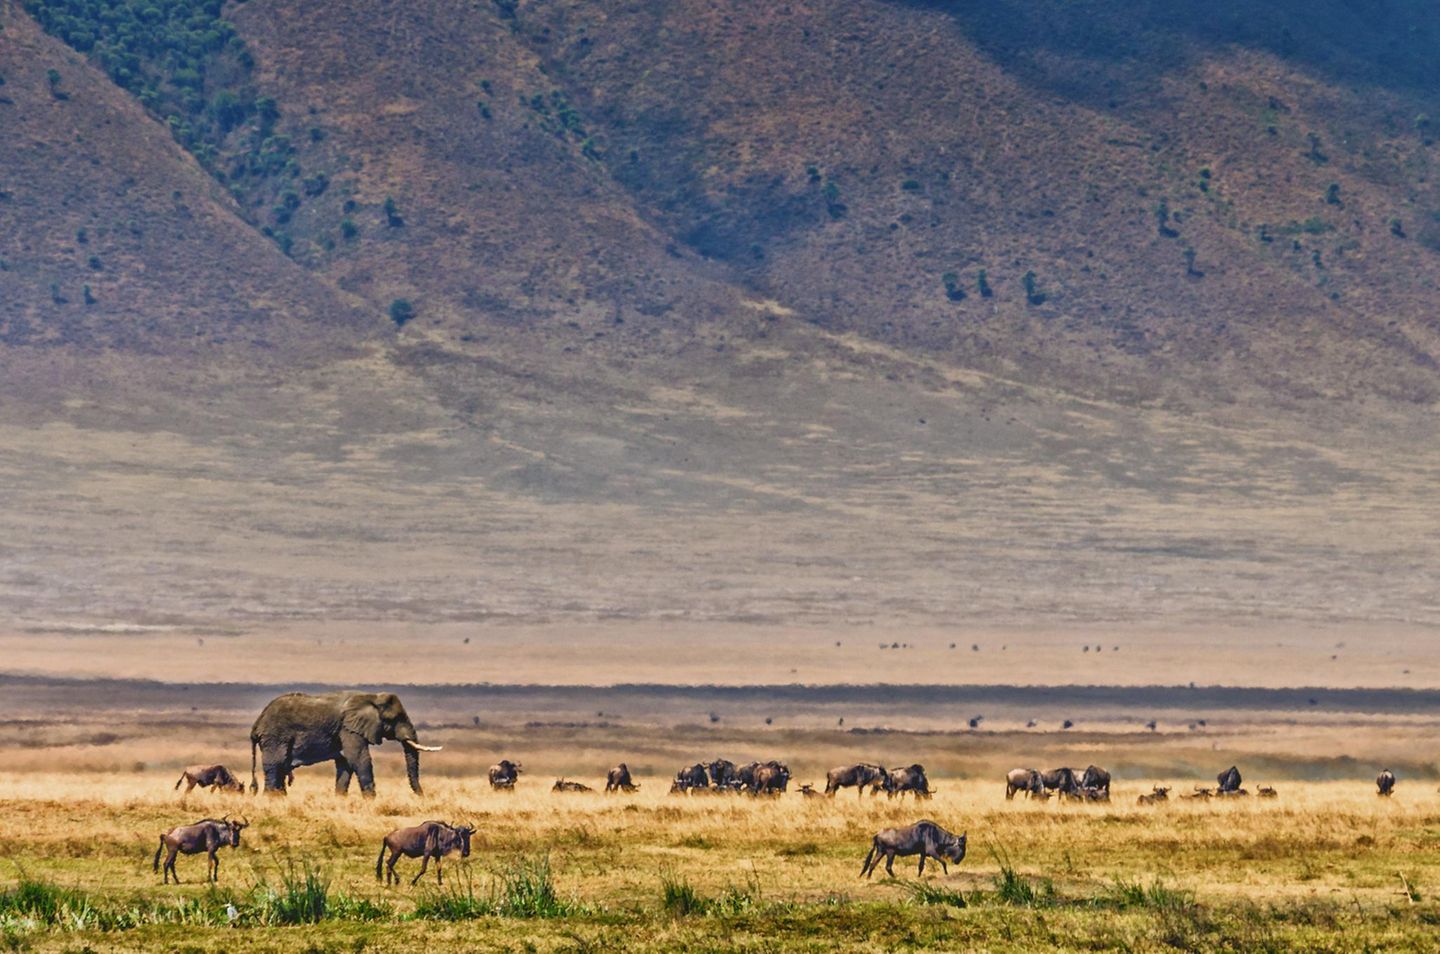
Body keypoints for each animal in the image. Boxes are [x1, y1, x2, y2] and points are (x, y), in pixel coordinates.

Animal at [249, 691, 440, 797]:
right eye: (394, 719)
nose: (423, 797)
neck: (371, 697)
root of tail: (257, 723)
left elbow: (345, 763)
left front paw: (341, 799)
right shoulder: (349, 728)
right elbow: (359, 758)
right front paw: (371, 800)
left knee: (280, 768)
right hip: (275, 736)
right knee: (276, 765)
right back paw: (272, 798)